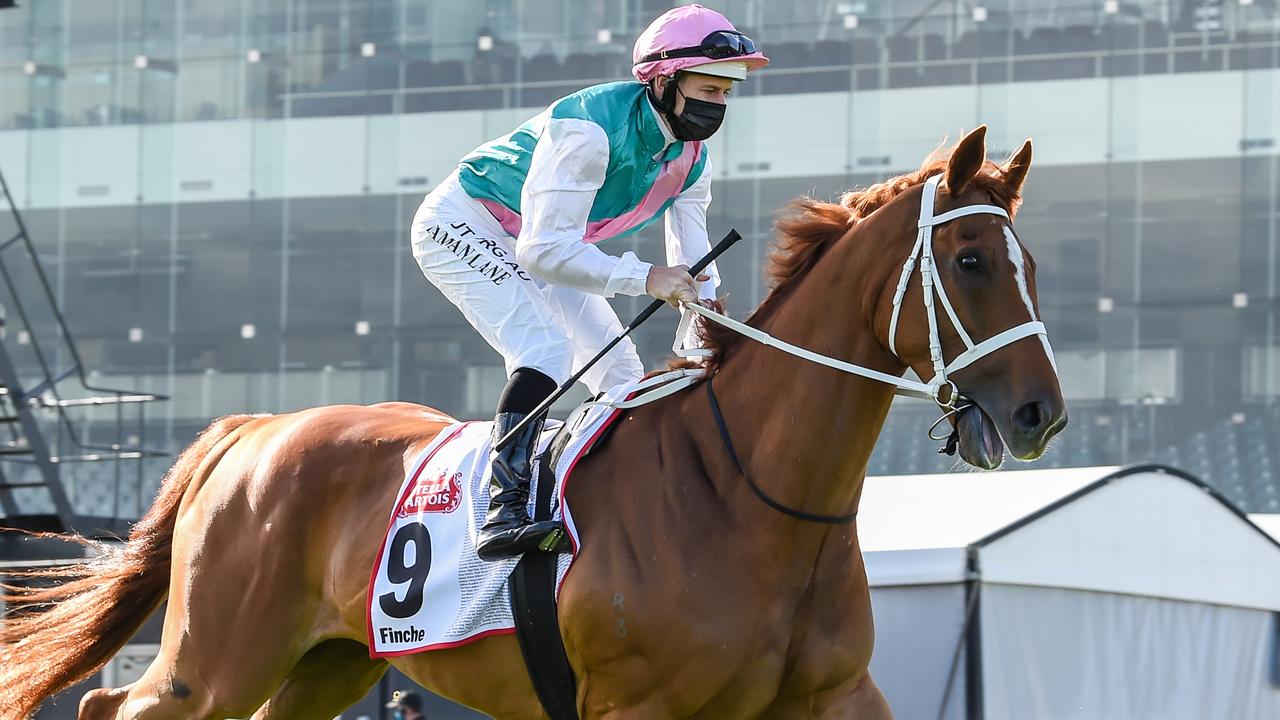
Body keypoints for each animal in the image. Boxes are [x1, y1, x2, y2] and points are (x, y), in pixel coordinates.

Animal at [0, 124, 1064, 717]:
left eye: (1030, 263)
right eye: (971, 261)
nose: (1041, 413)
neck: (754, 497)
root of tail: (251, 433)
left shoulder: (836, 696)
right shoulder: (637, 705)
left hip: (321, 666)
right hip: (217, 657)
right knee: (113, 703)